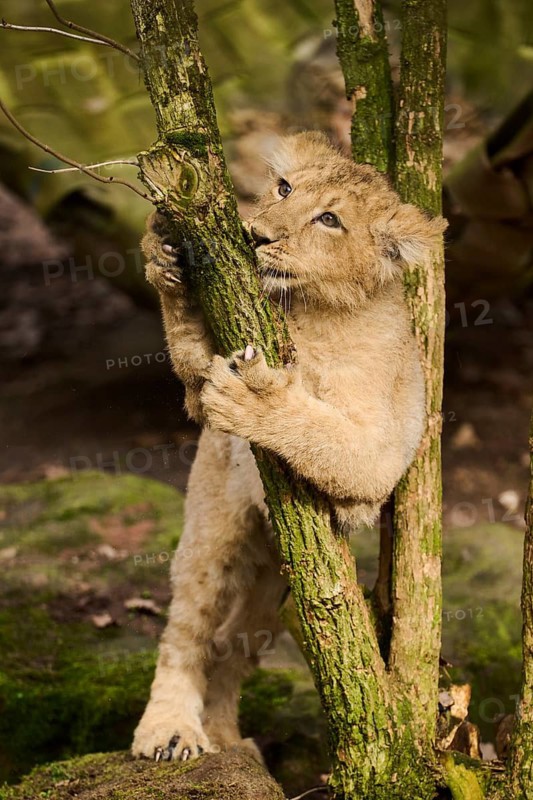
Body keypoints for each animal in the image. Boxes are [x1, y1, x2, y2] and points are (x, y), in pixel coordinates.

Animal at [132, 132, 445, 762]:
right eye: (283, 188)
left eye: (329, 220)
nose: (257, 235)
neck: (312, 310)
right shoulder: (201, 389)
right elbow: (194, 367)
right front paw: (167, 253)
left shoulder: (382, 450)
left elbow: (317, 428)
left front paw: (256, 398)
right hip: (214, 529)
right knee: (187, 632)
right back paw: (170, 731)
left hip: (275, 578)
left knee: (230, 644)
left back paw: (226, 739)